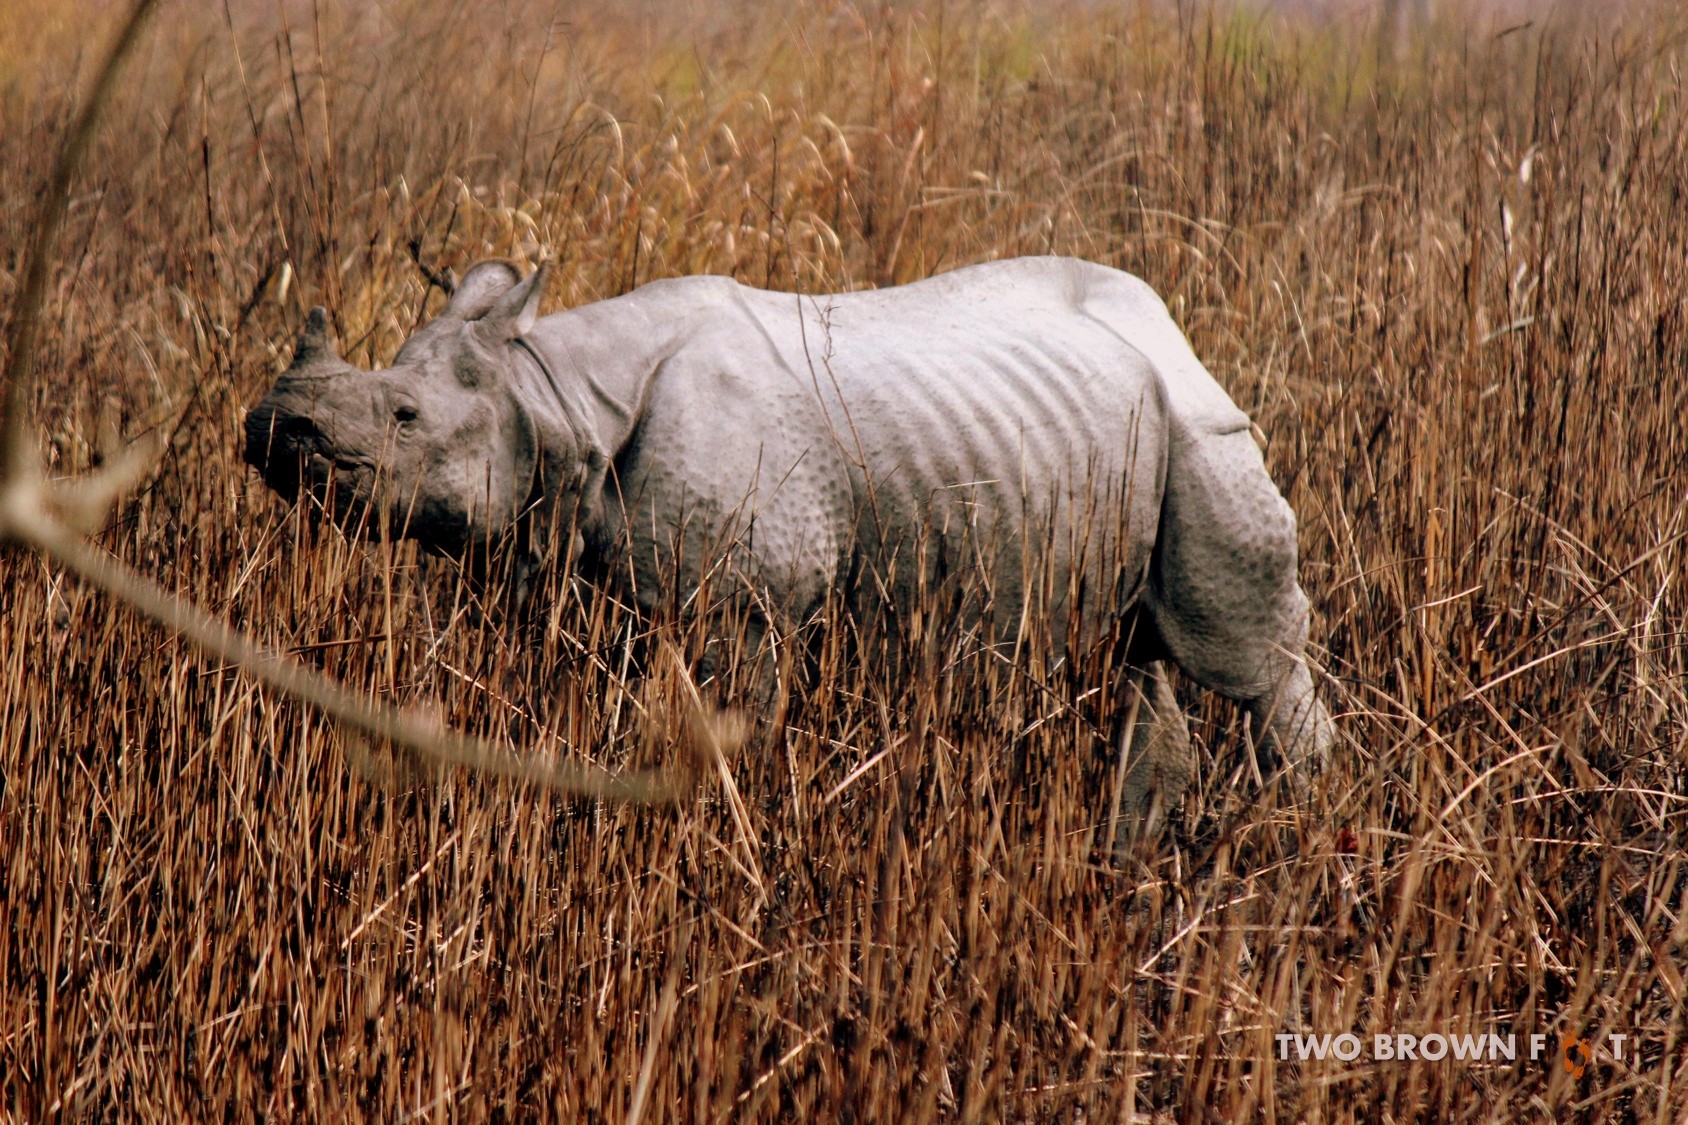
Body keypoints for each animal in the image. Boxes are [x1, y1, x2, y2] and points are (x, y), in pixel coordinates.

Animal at [244, 255, 1334, 822]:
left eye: (404, 418)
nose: (271, 426)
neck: (553, 393)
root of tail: (1170, 327)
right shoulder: (581, 574)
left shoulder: (741, 605)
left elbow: (723, 726)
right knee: (1133, 655)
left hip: (1200, 426)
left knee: (1241, 655)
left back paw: (1309, 827)